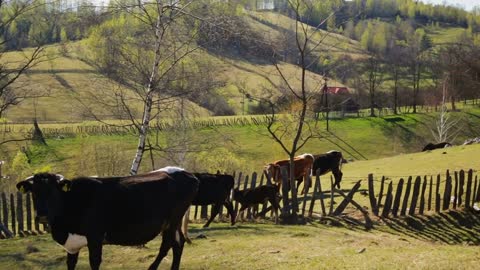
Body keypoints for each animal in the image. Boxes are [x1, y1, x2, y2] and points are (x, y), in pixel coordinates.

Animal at [15, 167, 199, 270]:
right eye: (34, 192)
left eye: (53, 191)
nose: (42, 215)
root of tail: (187, 174)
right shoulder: (72, 244)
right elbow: (70, 263)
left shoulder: (95, 237)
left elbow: (94, 262)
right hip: (173, 222)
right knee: (179, 242)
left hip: (172, 220)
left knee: (168, 244)